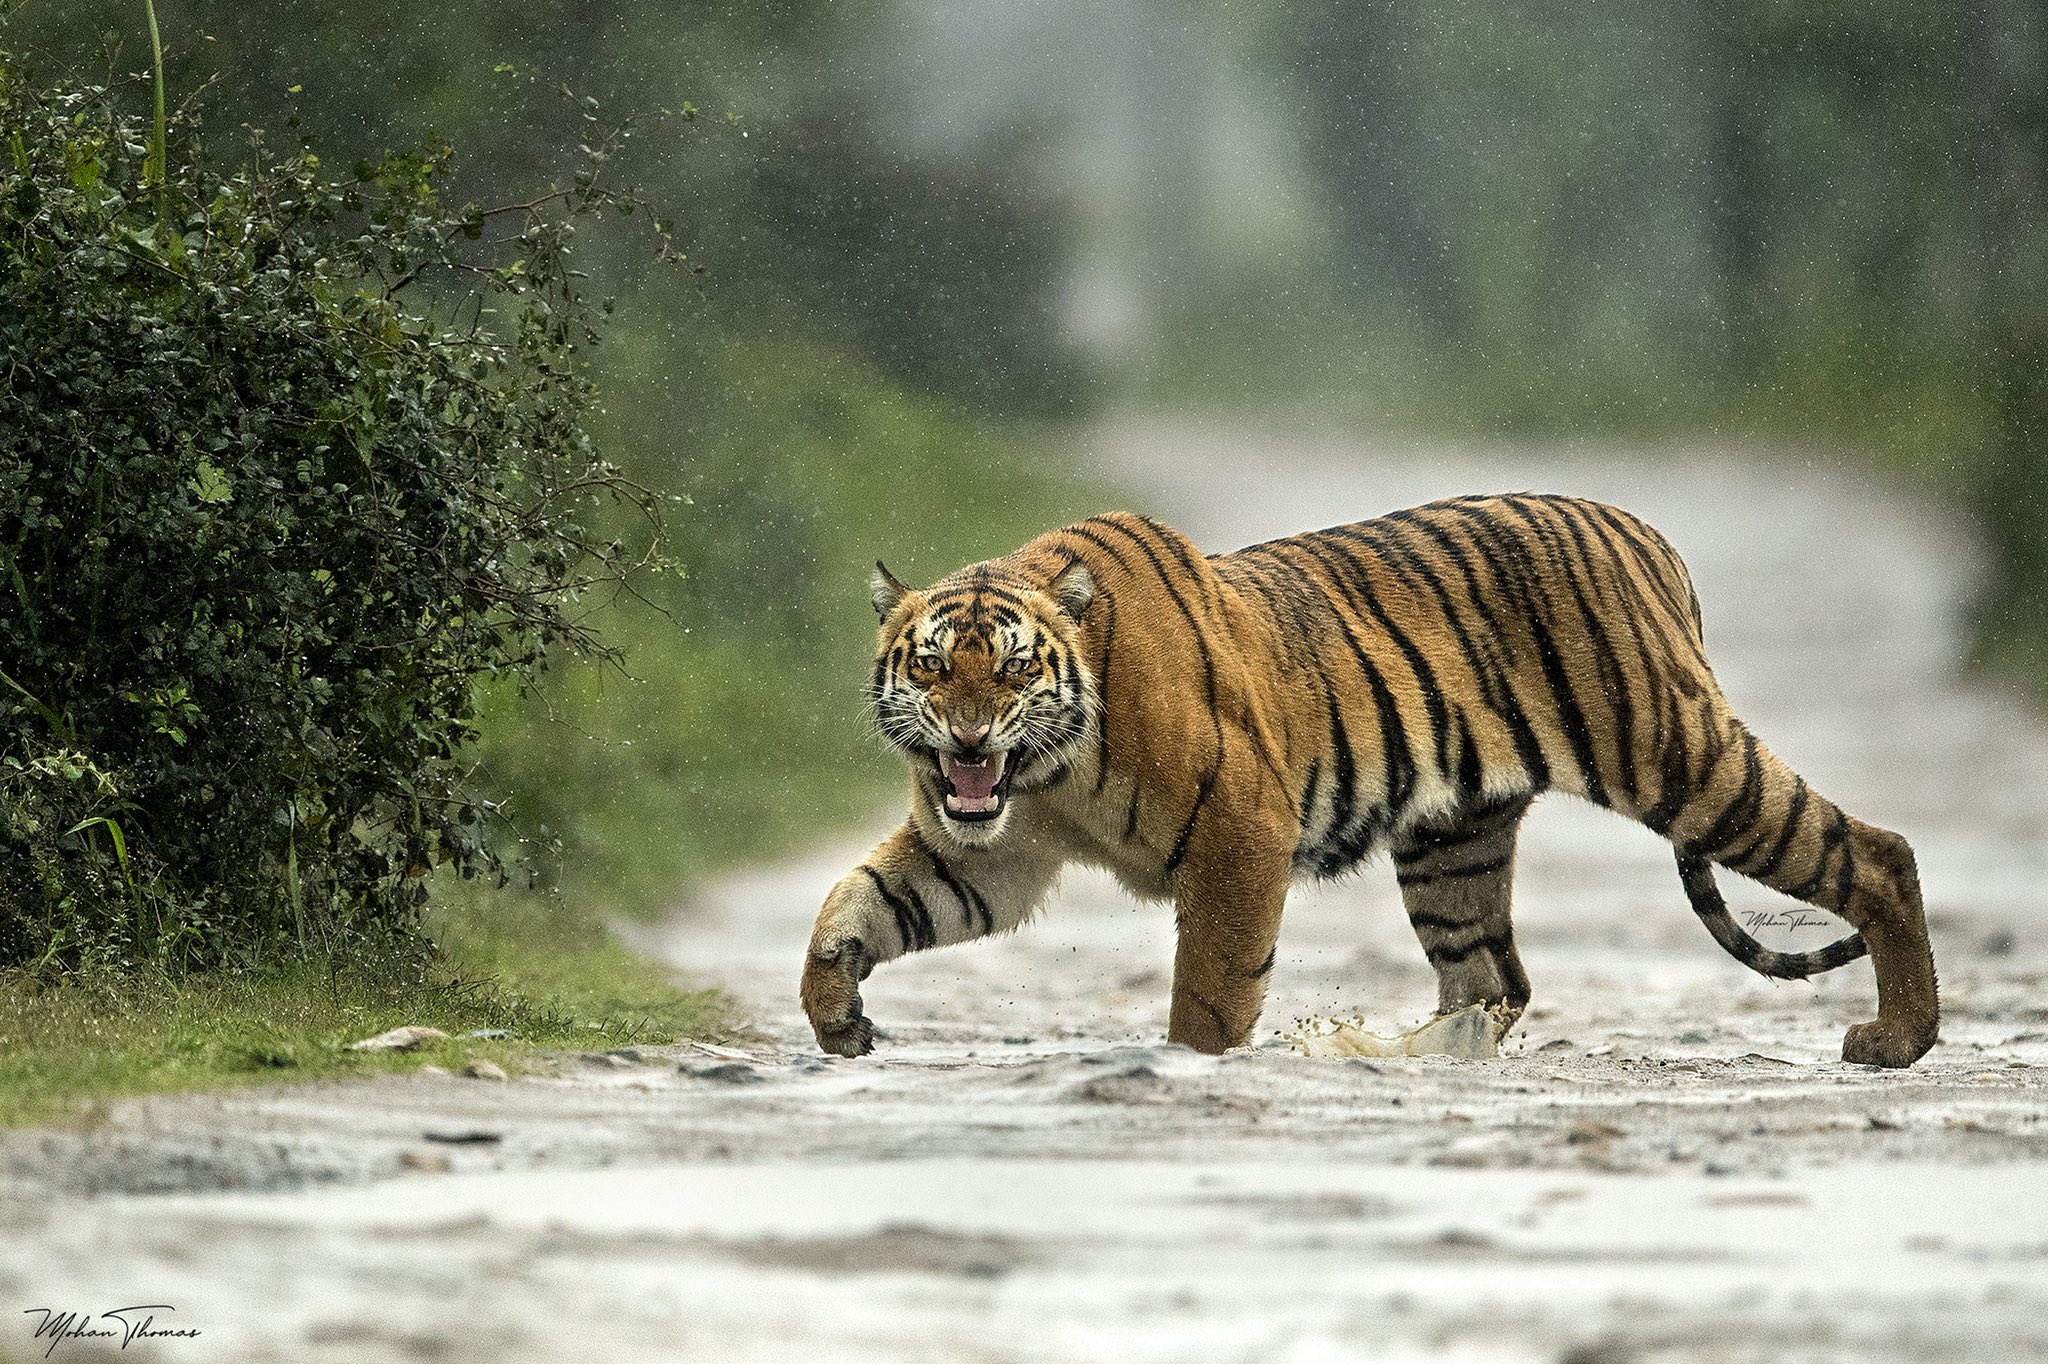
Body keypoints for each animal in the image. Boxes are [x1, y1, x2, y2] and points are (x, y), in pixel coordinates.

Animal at [794, 497, 1933, 1064]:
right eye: (931, 666)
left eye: (1013, 667)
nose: (968, 733)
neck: (1045, 772)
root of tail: (1647, 535)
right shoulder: (986, 855)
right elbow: (853, 903)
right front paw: (837, 1018)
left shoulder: (1240, 832)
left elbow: (1209, 988)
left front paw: (1190, 1067)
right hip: (1453, 838)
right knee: (1491, 978)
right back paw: (1406, 1053)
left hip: (1679, 758)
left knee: (1874, 851)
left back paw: (1898, 1039)